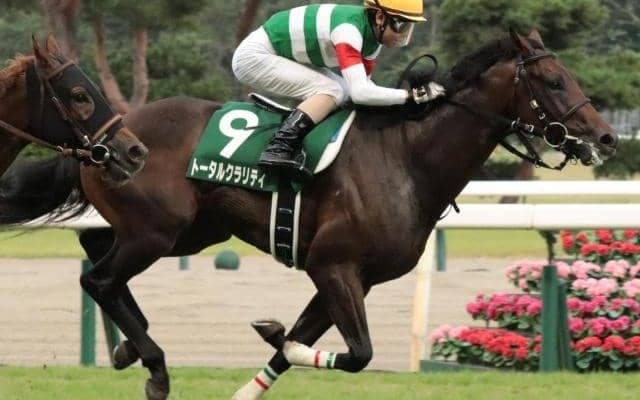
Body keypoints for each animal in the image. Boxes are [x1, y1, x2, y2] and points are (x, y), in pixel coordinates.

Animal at [0, 30, 617, 400]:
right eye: (555, 81)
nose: (607, 138)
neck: (406, 160)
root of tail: (109, 135)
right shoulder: (334, 266)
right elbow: (357, 353)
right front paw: (275, 332)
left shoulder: (348, 279)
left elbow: (294, 348)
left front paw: (272, 342)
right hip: (156, 230)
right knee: (99, 277)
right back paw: (151, 362)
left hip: (189, 232)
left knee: (95, 253)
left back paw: (129, 345)